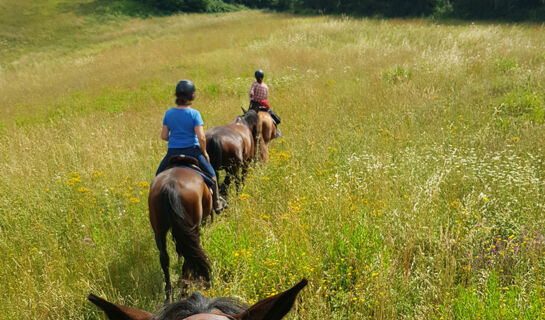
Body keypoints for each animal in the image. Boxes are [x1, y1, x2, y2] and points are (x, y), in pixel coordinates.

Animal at [150, 156, 216, 304]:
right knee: (188, 258)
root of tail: (170, 186)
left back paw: (168, 297)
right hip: (192, 227)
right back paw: (184, 292)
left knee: (165, 258)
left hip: (159, 231)